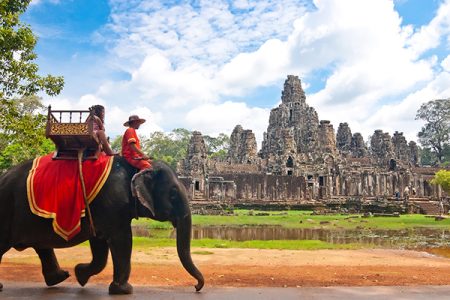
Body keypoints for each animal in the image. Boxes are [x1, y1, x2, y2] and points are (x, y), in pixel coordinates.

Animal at [0, 156, 204, 294]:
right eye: (173, 193)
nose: (196, 287)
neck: (137, 165)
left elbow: (99, 246)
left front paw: (81, 275)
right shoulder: (113, 203)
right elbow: (122, 240)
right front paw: (124, 290)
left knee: (41, 246)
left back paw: (59, 278)